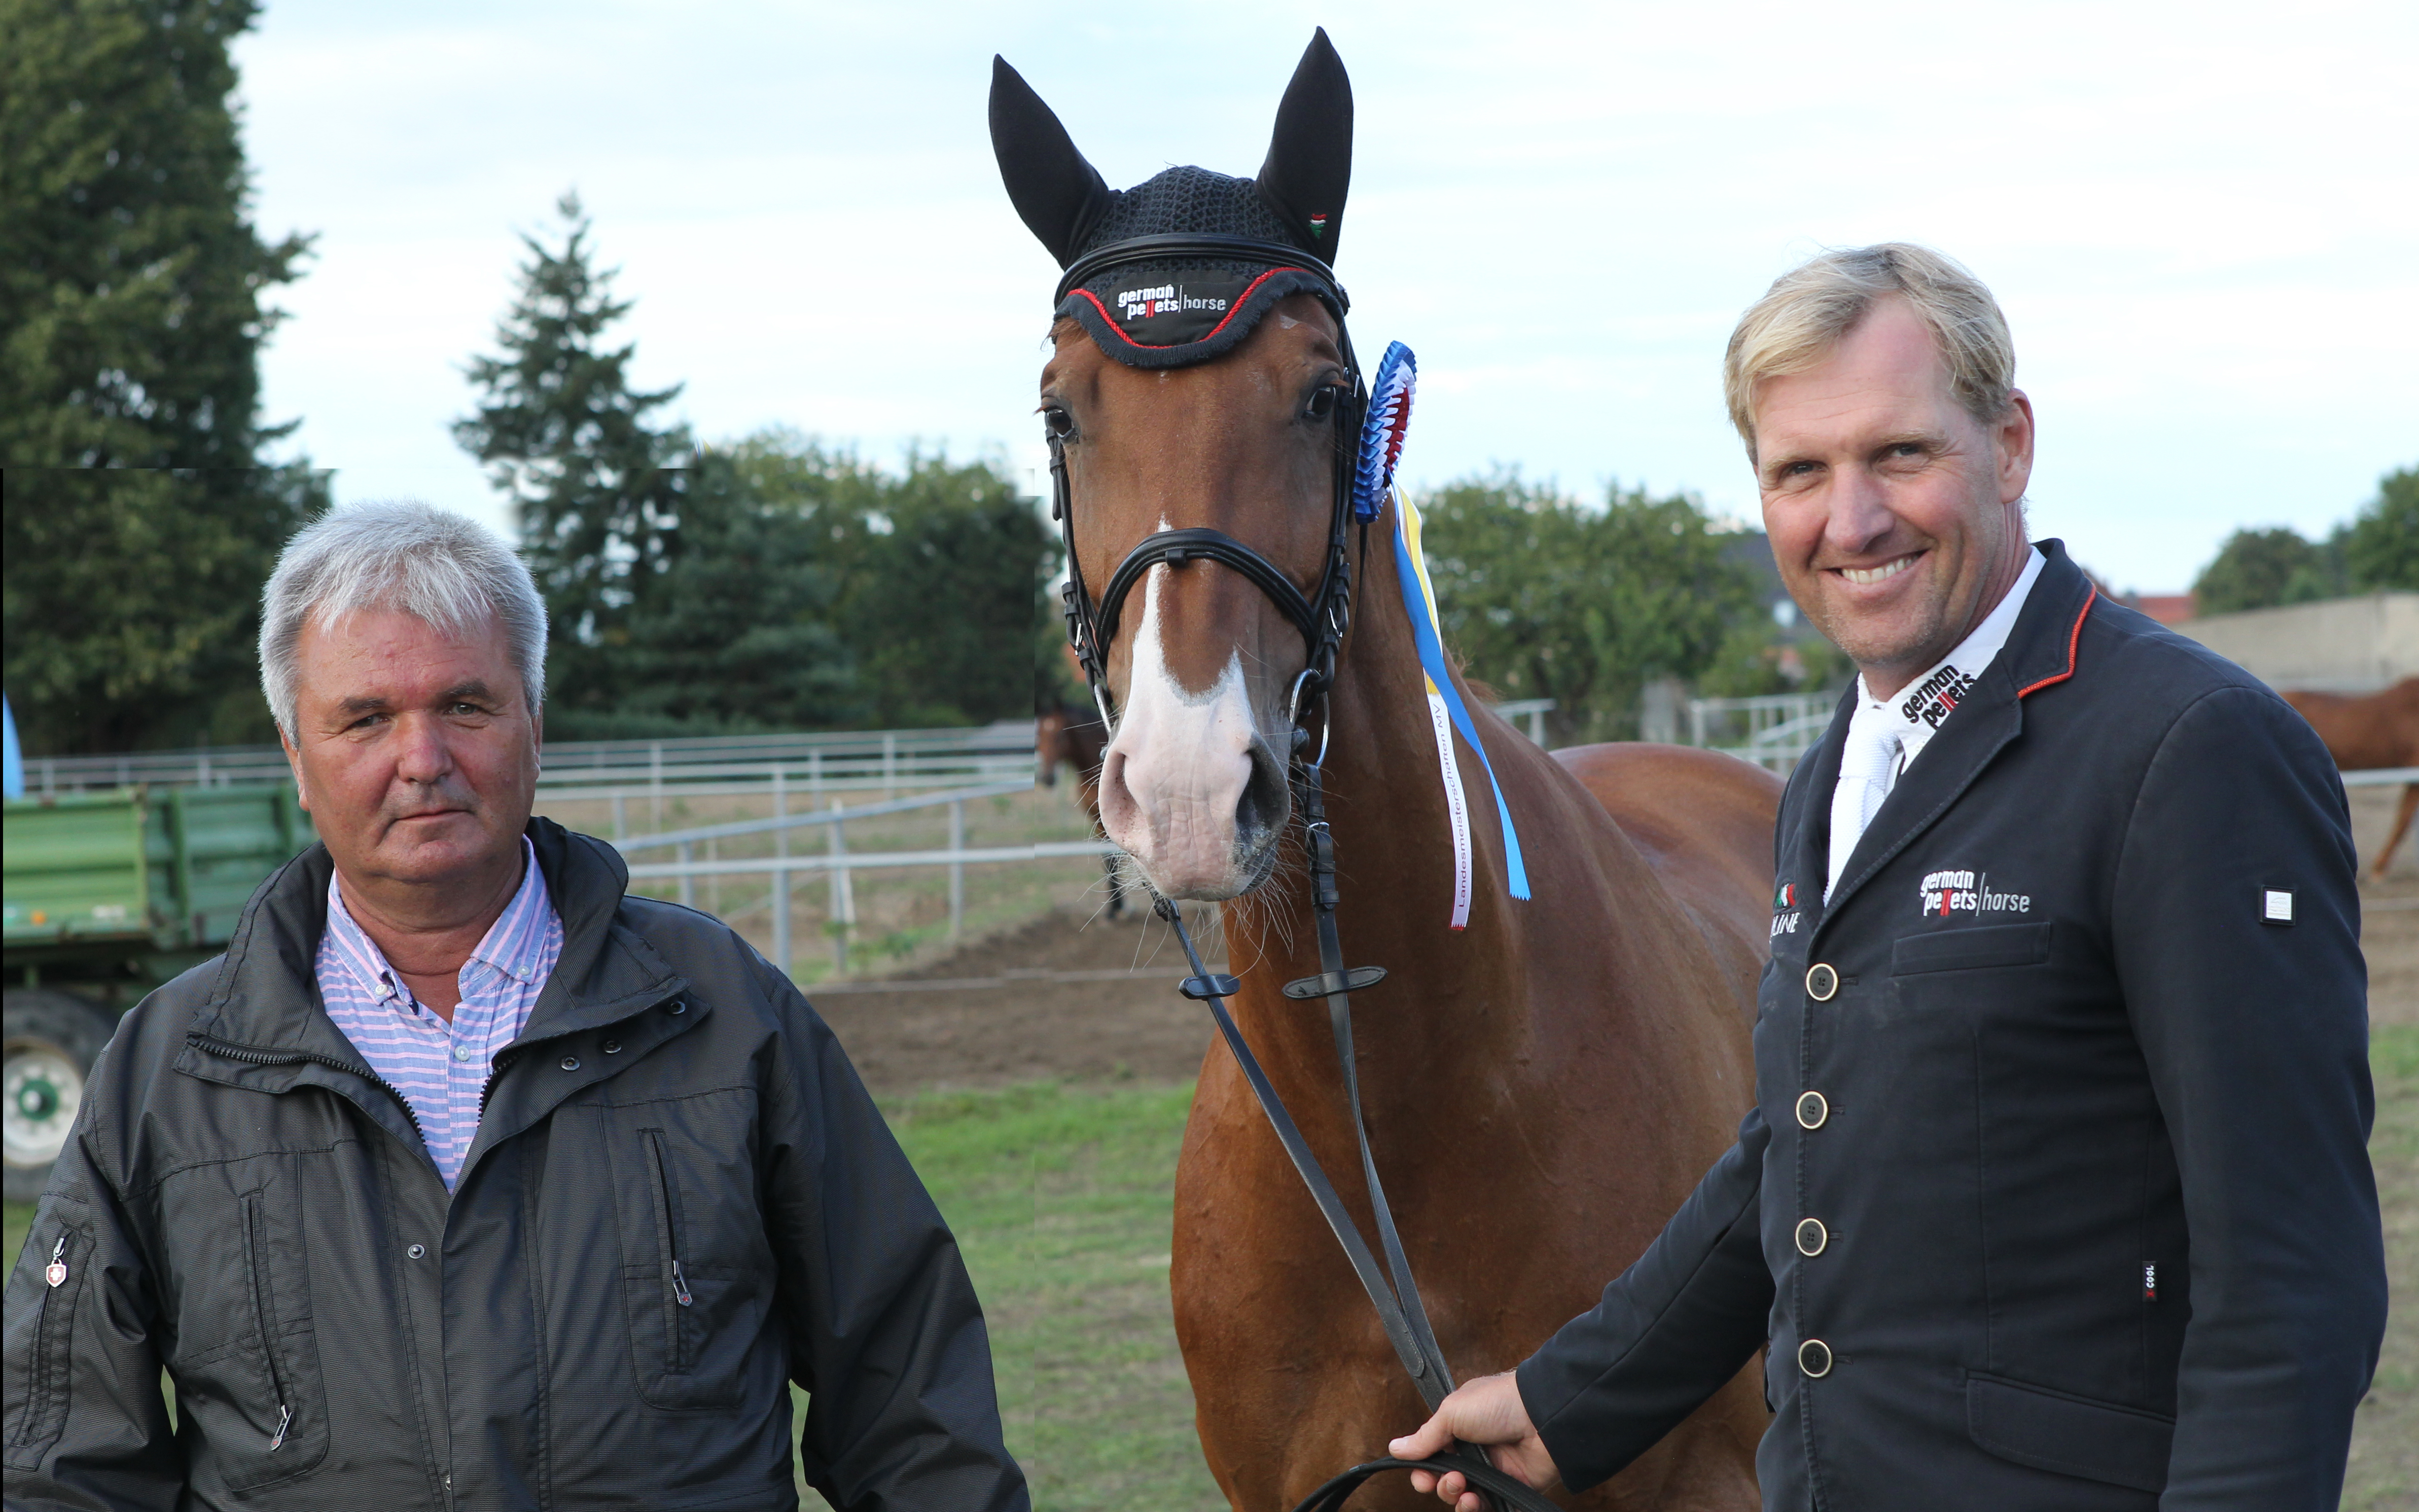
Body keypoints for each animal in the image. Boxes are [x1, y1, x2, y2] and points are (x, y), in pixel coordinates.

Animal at [1025, 697, 1127, 919]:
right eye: (1039, 736)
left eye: (1059, 735)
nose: (1048, 778)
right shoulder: (1097, 821)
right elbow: (1109, 860)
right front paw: (1114, 908)